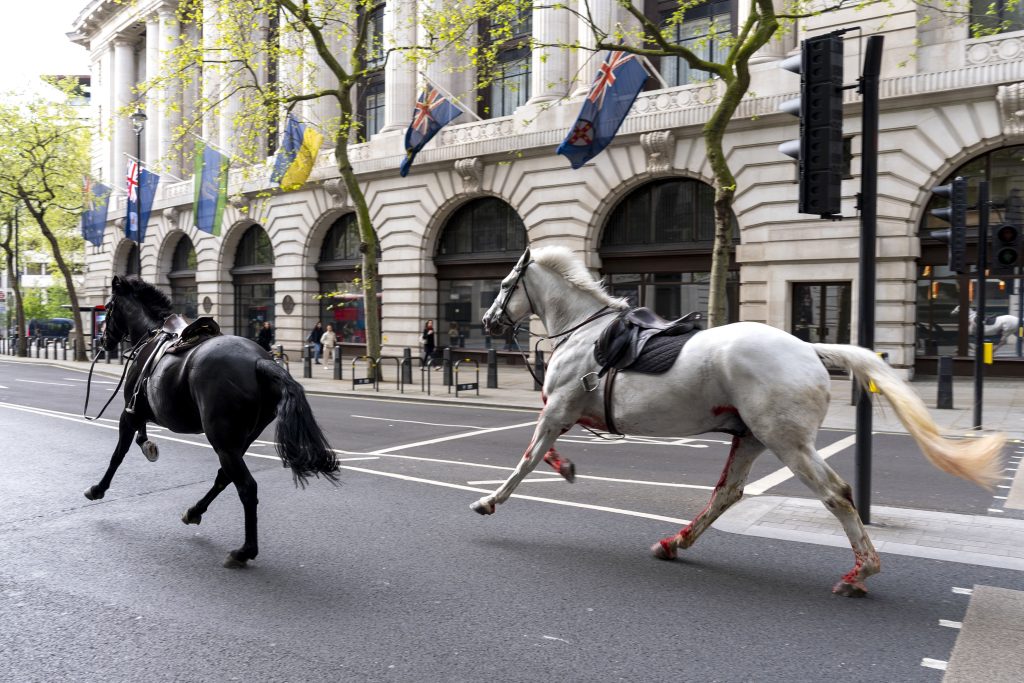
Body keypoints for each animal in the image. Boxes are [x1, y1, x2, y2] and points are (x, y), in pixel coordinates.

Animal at [88, 274, 335, 569]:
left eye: (108, 308)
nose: (102, 340)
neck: (152, 333)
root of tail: (260, 361)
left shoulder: (130, 412)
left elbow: (117, 454)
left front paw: (98, 488)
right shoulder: (140, 411)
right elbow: (139, 438)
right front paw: (148, 446)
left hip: (222, 439)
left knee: (246, 487)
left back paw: (244, 551)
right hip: (239, 440)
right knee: (224, 477)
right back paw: (194, 512)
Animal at [479, 248, 1007, 593]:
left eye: (505, 285)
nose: (487, 321)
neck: (584, 333)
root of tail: (810, 349)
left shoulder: (557, 408)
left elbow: (527, 458)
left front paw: (490, 501)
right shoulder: (564, 412)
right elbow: (543, 452)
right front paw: (566, 468)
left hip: (786, 441)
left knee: (834, 495)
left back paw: (861, 572)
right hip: (753, 437)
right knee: (730, 494)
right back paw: (675, 542)